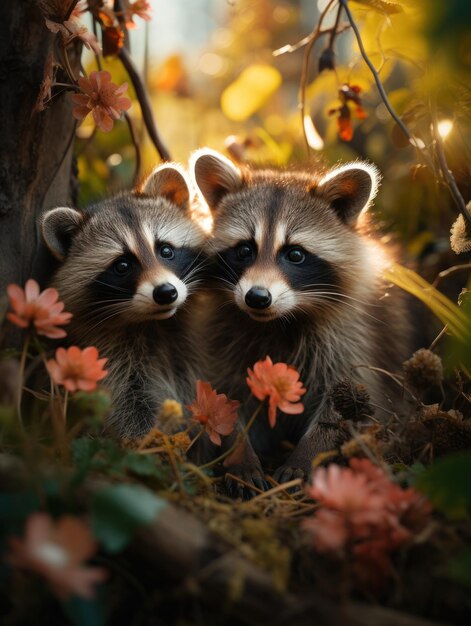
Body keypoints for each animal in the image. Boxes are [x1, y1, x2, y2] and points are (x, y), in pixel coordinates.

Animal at [41, 166, 207, 438]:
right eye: (122, 266)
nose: (166, 292)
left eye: (166, 251)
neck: (153, 324)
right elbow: (129, 407)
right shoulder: (108, 355)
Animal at [190, 149, 412, 490]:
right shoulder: (222, 336)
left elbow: (346, 400)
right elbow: (222, 397)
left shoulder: (351, 335)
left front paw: (309, 453)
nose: (257, 297)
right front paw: (240, 453)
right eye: (244, 250)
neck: (279, 320)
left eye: (295, 254)